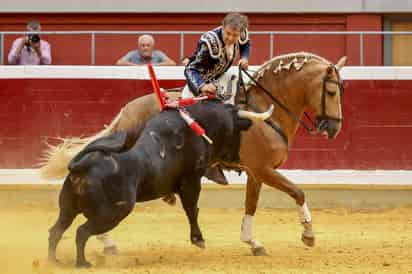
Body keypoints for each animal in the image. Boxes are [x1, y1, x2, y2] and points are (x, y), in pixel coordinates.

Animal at [49, 101, 251, 268]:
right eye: (238, 133)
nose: (238, 161)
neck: (198, 125)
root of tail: (83, 165)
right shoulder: (191, 181)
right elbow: (192, 209)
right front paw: (198, 239)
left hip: (68, 209)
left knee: (56, 230)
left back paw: (54, 261)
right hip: (112, 214)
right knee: (81, 232)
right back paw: (82, 263)